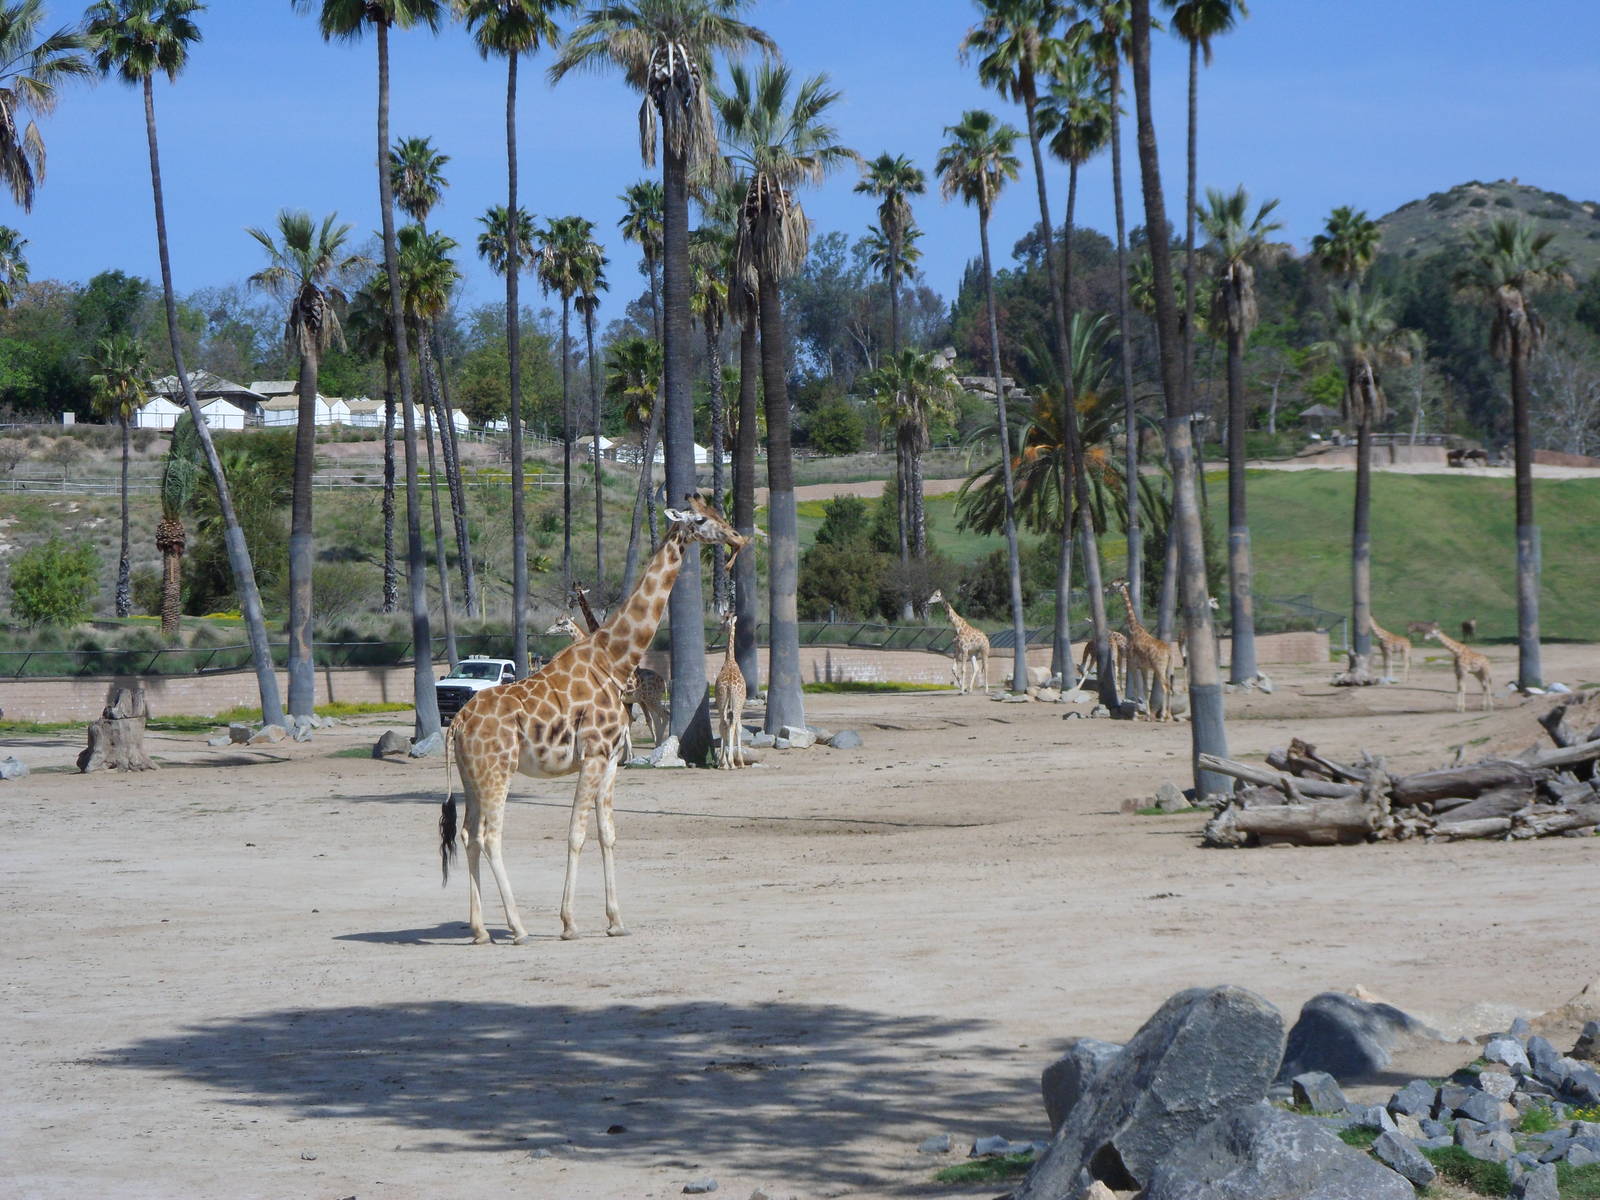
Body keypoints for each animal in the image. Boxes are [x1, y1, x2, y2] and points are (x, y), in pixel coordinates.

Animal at [441, 496, 749, 943]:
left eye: (718, 513)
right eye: (700, 519)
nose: (737, 536)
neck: (614, 661)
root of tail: (457, 723)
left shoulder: (611, 759)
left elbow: (608, 834)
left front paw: (615, 921)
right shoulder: (592, 755)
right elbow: (576, 833)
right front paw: (569, 923)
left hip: (472, 775)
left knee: (467, 834)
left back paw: (481, 930)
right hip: (498, 770)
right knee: (489, 836)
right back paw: (518, 928)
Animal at [1109, 577, 1176, 721]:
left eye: (1114, 585)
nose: (1106, 589)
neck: (1134, 629)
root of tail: (1169, 653)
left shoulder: (1132, 664)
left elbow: (1135, 688)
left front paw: (1135, 716)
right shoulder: (1144, 667)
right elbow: (1145, 689)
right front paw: (1147, 715)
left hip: (1159, 667)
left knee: (1165, 687)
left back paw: (1162, 717)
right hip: (1168, 668)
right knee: (1169, 686)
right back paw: (1168, 715)